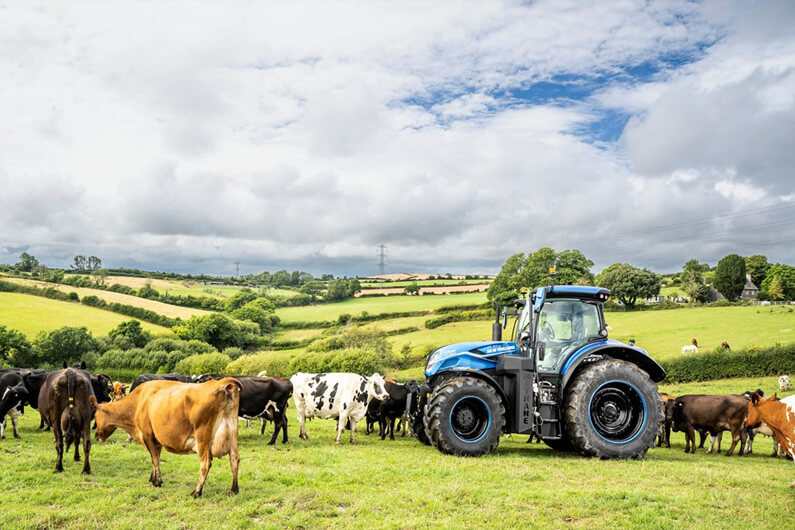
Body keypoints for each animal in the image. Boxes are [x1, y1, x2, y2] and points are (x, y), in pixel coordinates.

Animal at [93, 376, 243, 496]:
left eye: (95, 416)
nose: (96, 436)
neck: (139, 401)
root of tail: (222, 382)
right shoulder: (156, 439)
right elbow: (156, 458)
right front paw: (153, 478)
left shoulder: (147, 435)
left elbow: (154, 459)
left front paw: (157, 482)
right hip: (232, 434)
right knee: (234, 459)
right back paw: (234, 489)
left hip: (203, 438)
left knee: (205, 463)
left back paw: (196, 492)